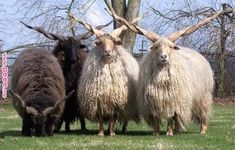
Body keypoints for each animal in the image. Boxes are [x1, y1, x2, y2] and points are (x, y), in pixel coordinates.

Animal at [105, 7, 231, 136]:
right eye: (156, 47)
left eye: (171, 47)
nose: (163, 56)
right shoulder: (154, 101)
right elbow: (157, 119)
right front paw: (156, 132)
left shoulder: (173, 100)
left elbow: (170, 117)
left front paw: (169, 132)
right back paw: (177, 130)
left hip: (203, 96)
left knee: (203, 113)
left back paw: (202, 130)